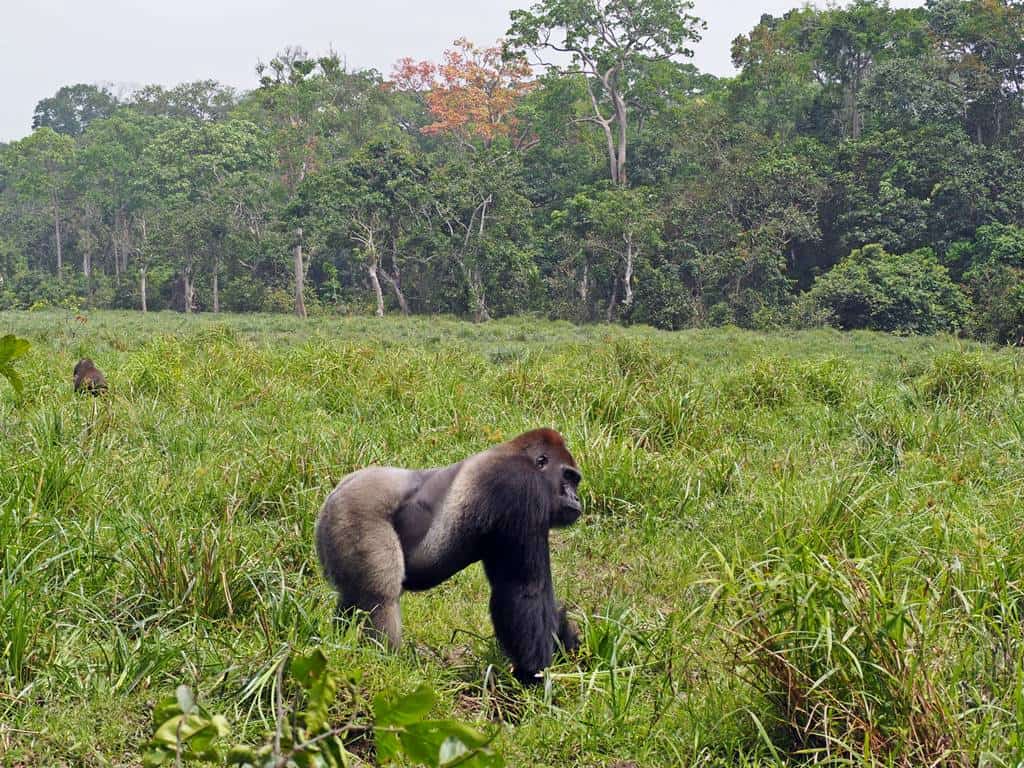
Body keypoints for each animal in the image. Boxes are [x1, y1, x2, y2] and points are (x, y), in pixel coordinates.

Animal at [315, 428, 583, 684]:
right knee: (381, 598)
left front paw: (567, 646)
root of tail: (335, 495)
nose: (576, 498)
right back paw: (383, 661)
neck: (521, 457)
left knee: (352, 597)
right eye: (569, 477)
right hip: (358, 513)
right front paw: (533, 674)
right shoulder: (524, 487)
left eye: (575, 480)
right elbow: (524, 589)